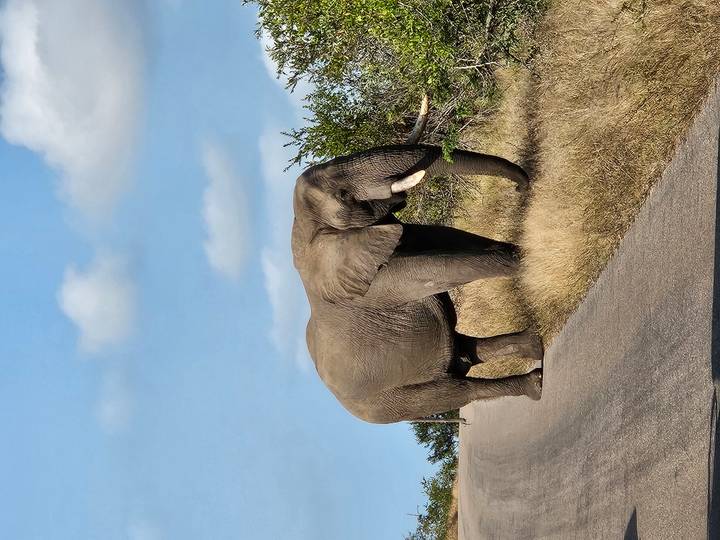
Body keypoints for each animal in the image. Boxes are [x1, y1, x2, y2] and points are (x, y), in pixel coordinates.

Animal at [292, 143, 544, 424]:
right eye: (343, 195)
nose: (523, 187)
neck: (301, 230)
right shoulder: (374, 283)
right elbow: (440, 266)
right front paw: (534, 256)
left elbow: (451, 238)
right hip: (389, 403)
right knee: (457, 391)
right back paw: (535, 383)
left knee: (467, 349)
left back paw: (534, 344)